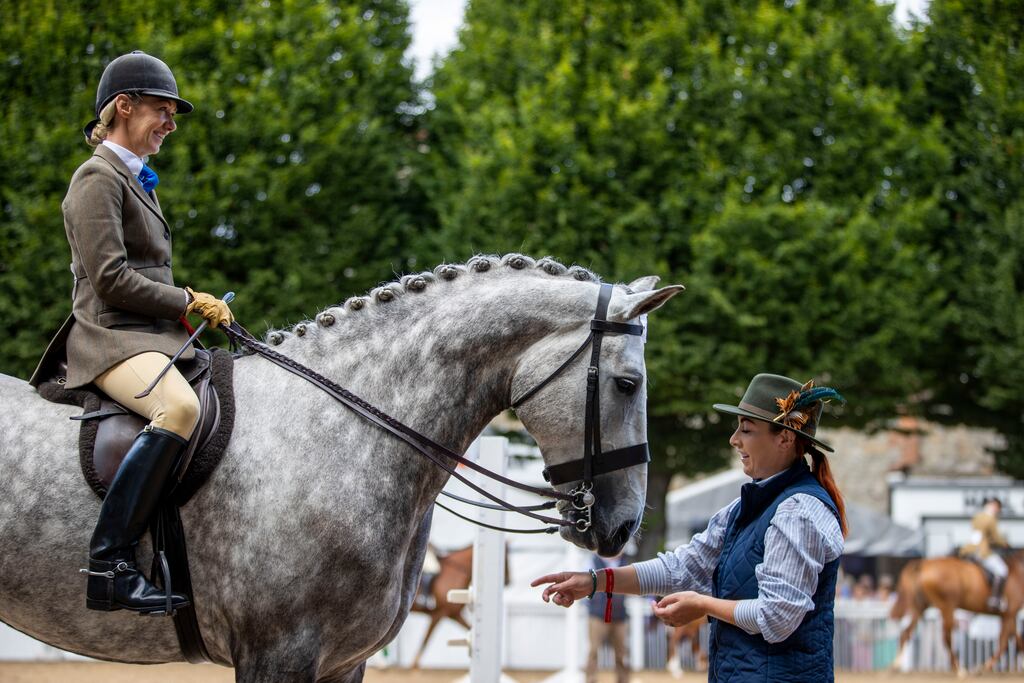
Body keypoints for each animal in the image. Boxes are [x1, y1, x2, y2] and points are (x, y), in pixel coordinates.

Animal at [890, 551, 1024, 676]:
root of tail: (924, 564)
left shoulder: (1009, 615)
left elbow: (1017, 639)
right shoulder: (1010, 614)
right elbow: (1003, 643)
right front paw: (983, 667)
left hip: (920, 607)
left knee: (906, 632)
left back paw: (895, 665)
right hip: (947, 607)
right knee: (946, 638)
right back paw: (959, 669)